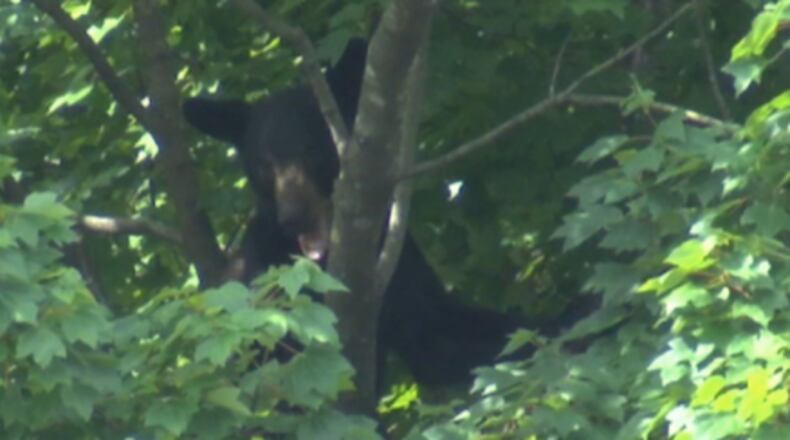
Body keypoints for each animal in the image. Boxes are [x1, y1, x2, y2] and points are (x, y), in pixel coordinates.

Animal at [183, 38, 523, 386]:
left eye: (311, 151)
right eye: (265, 164)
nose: (292, 219)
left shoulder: (396, 262)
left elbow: (441, 334)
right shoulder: (264, 280)